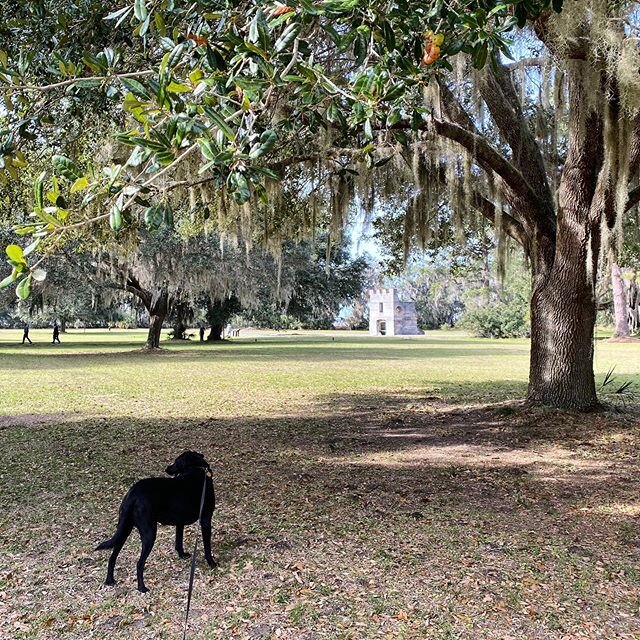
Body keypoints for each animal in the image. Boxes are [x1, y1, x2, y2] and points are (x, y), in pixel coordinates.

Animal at [94, 452, 216, 592]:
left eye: (175, 462)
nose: (167, 469)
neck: (197, 468)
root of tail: (132, 493)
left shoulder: (180, 522)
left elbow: (178, 541)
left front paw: (182, 555)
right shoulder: (206, 520)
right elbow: (207, 547)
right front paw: (212, 563)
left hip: (124, 530)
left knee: (112, 557)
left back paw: (109, 580)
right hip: (149, 533)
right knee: (139, 563)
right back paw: (142, 587)